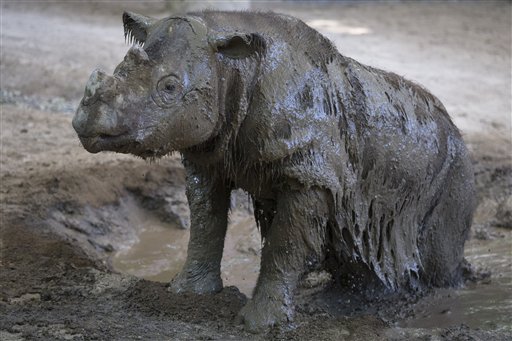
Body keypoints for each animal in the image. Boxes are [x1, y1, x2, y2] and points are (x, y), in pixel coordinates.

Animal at [72, 11, 476, 332]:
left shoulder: (309, 175)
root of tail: (457, 131)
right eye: (119, 69)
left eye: (169, 87)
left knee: (437, 256)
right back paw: (343, 302)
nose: (86, 124)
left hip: (454, 167)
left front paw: (259, 324)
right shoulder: (206, 155)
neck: (231, 65)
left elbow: (285, 245)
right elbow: (205, 223)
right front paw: (186, 292)